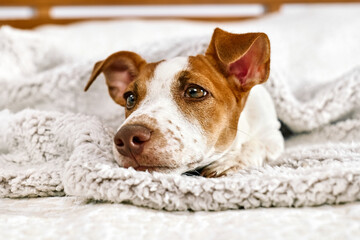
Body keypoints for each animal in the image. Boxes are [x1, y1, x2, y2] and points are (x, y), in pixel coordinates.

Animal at [84, 28, 284, 178]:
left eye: (195, 91)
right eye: (130, 98)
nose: (126, 137)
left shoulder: (272, 134)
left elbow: (258, 145)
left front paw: (232, 160)